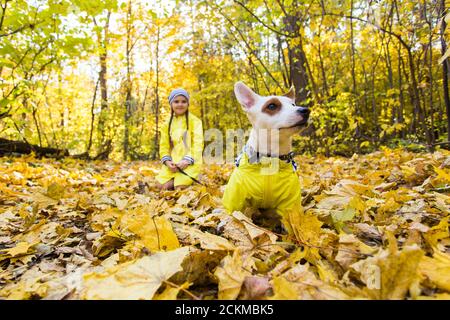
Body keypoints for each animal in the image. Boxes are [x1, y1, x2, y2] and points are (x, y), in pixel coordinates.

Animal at [221, 81, 310, 232]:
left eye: (293, 104)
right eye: (272, 106)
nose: (305, 110)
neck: (270, 158)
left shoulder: (290, 202)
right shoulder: (235, 197)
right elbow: (232, 213)